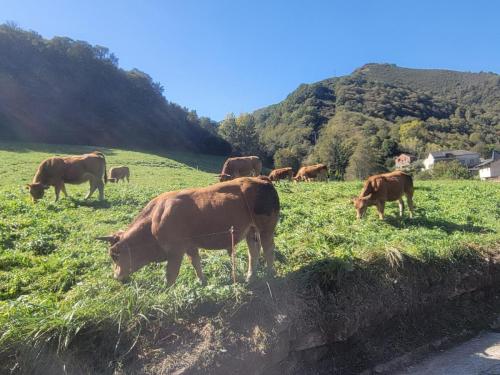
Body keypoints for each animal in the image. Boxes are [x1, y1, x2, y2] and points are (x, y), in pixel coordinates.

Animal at [95, 178, 280, 286]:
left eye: (114, 256)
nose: (115, 277)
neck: (154, 219)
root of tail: (262, 180)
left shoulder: (175, 251)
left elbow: (170, 275)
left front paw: (165, 294)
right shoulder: (190, 246)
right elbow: (196, 263)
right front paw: (202, 282)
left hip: (266, 228)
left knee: (268, 249)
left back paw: (270, 274)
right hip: (251, 231)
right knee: (254, 252)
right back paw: (250, 277)